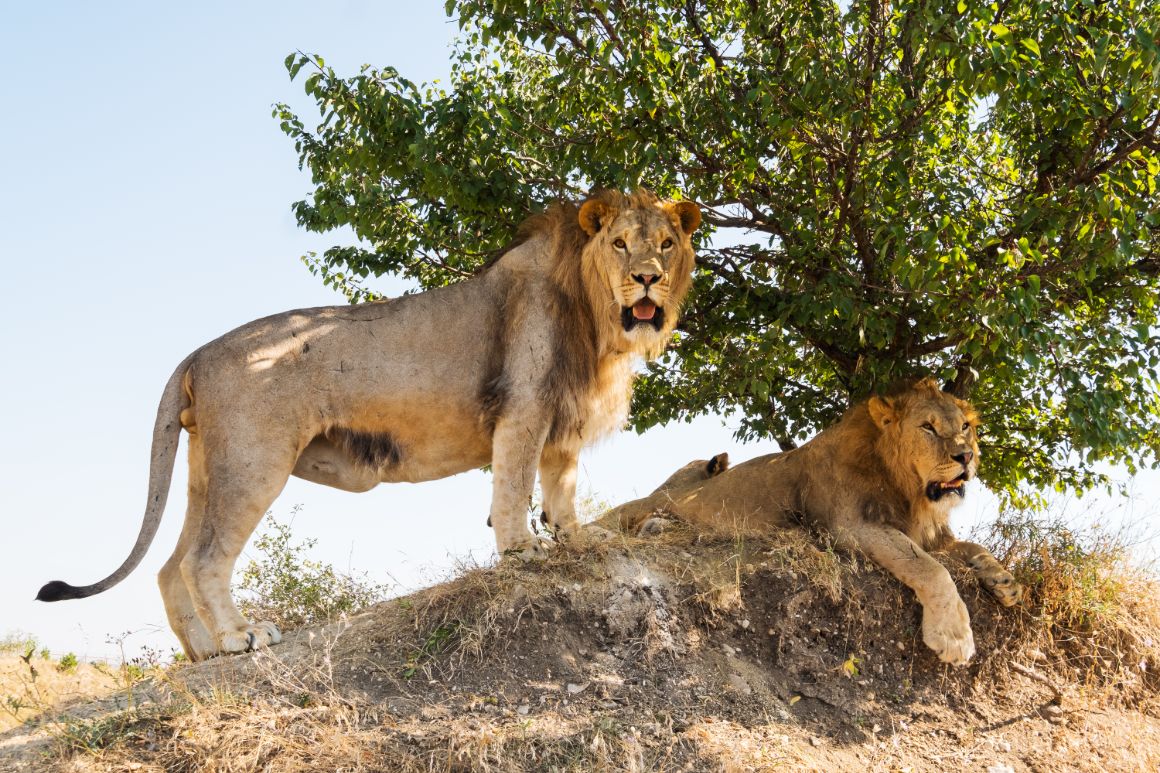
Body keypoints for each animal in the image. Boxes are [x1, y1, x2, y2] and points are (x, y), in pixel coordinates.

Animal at [36, 189, 700, 659]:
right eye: (621, 244)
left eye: (666, 243)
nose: (647, 278)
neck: (598, 319)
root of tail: (196, 354)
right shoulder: (525, 406)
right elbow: (514, 486)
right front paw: (522, 551)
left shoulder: (564, 415)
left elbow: (561, 486)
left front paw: (579, 538)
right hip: (254, 463)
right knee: (203, 558)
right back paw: (239, 638)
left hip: (209, 468)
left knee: (171, 564)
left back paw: (203, 652)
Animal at [598, 378, 1025, 663]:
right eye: (928, 427)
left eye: (965, 426)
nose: (967, 456)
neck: (910, 489)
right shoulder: (849, 527)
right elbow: (929, 567)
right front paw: (954, 636)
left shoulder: (933, 533)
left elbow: (972, 548)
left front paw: (1004, 581)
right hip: (649, 500)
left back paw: (659, 527)